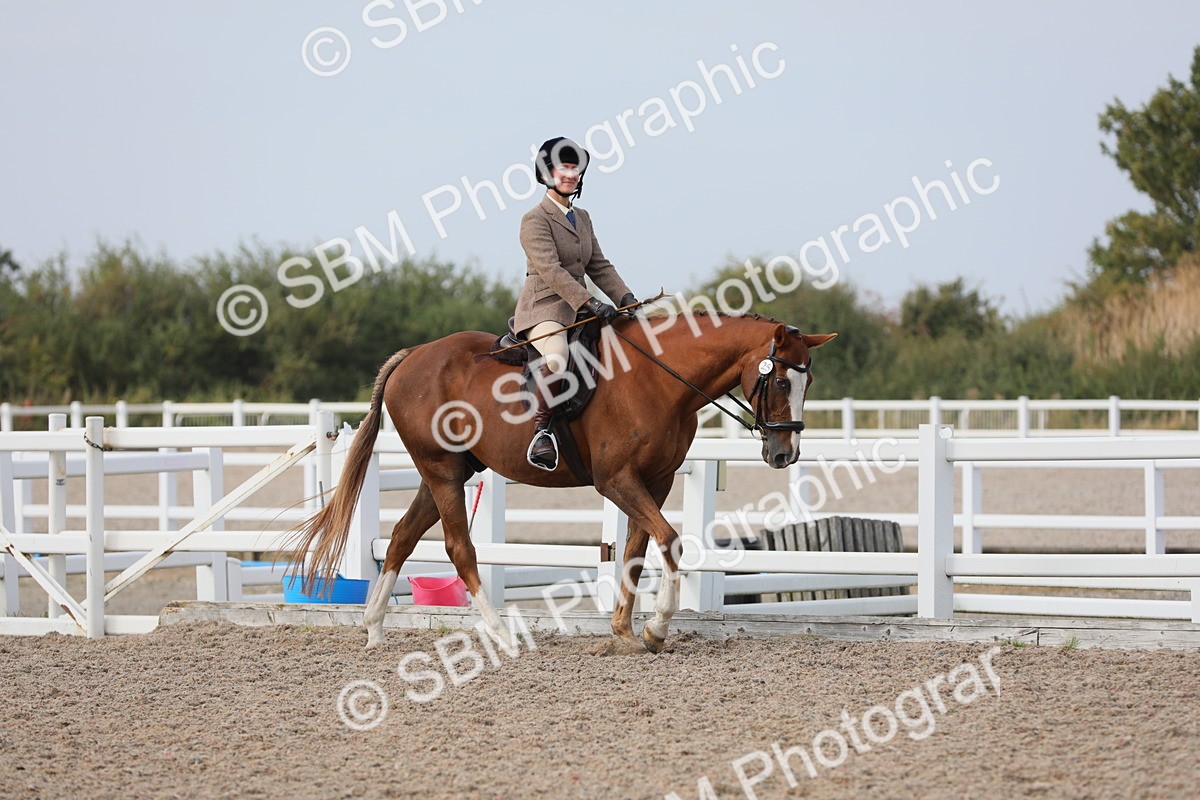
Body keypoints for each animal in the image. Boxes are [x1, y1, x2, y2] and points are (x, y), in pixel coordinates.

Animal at [290, 309, 836, 651]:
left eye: (809, 380)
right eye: (781, 380)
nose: (785, 454)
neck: (658, 380)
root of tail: (414, 356)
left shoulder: (654, 482)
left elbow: (637, 549)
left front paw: (624, 631)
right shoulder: (617, 481)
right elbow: (670, 540)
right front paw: (657, 628)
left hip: (444, 473)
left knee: (402, 537)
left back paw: (374, 630)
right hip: (442, 473)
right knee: (459, 548)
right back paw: (500, 634)